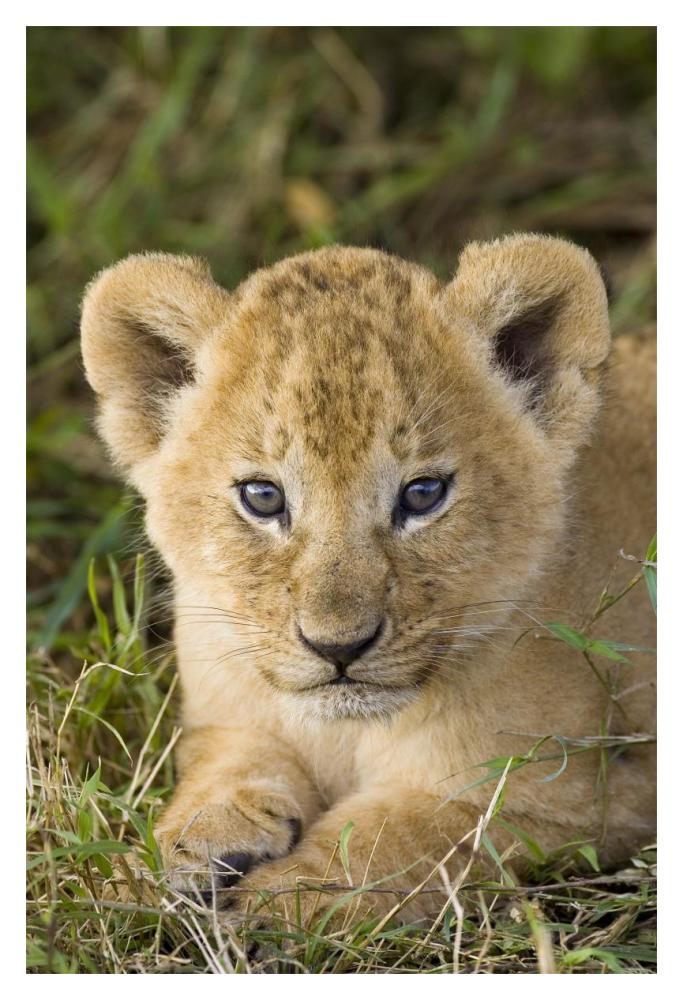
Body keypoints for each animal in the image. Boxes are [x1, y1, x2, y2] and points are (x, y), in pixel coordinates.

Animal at [80, 234, 655, 926]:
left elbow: (394, 840)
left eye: (424, 493)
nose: (339, 648)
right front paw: (167, 857)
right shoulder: (224, 716)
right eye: (263, 497)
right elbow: (226, 767)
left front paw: (272, 908)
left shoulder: (572, 796)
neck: (344, 733)